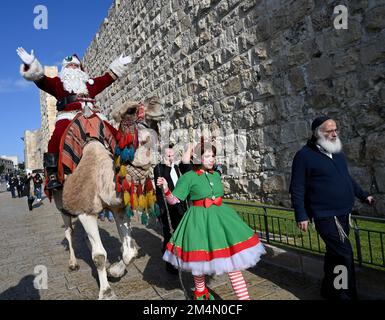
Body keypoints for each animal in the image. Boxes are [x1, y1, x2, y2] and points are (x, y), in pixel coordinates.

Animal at [51, 98, 163, 300]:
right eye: (131, 110)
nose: (156, 103)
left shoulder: (118, 208)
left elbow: (129, 252)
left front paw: (114, 271)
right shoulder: (85, 212)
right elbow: (99, 257)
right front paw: (106, 292)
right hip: (61, 204)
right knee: (69, 231)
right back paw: (73, 263)